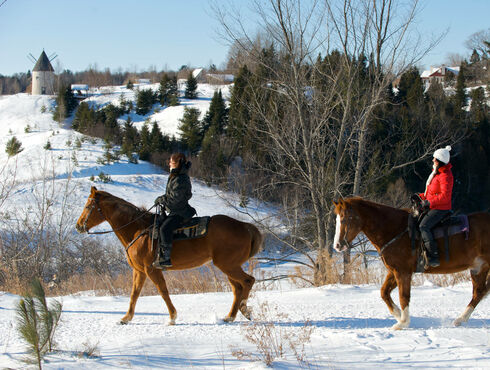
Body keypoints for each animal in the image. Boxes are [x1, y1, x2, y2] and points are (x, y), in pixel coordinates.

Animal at [74, 186, 262, 326]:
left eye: (88, 206)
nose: (78, 226)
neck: (138, 230)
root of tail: (245, 226)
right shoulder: (139, 271)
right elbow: (134, 293)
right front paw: (126, 318)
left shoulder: (151, 269)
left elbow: (162, 291)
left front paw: (172, 317)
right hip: (228, 266)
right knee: (237, 288)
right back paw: (230, 316)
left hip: (228, 265)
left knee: (248, 281)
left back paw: (244, 309)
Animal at [334, 197, 490, 330]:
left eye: (345, 218)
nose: (337, 245)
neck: (395, 230)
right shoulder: (394, 271)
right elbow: (384, 292)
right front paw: (398, 314)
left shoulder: (403, 272)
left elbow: (403, 296)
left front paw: (403, 322)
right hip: (478, 268)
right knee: (479, 293)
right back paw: (460, 319)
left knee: (479, 292)